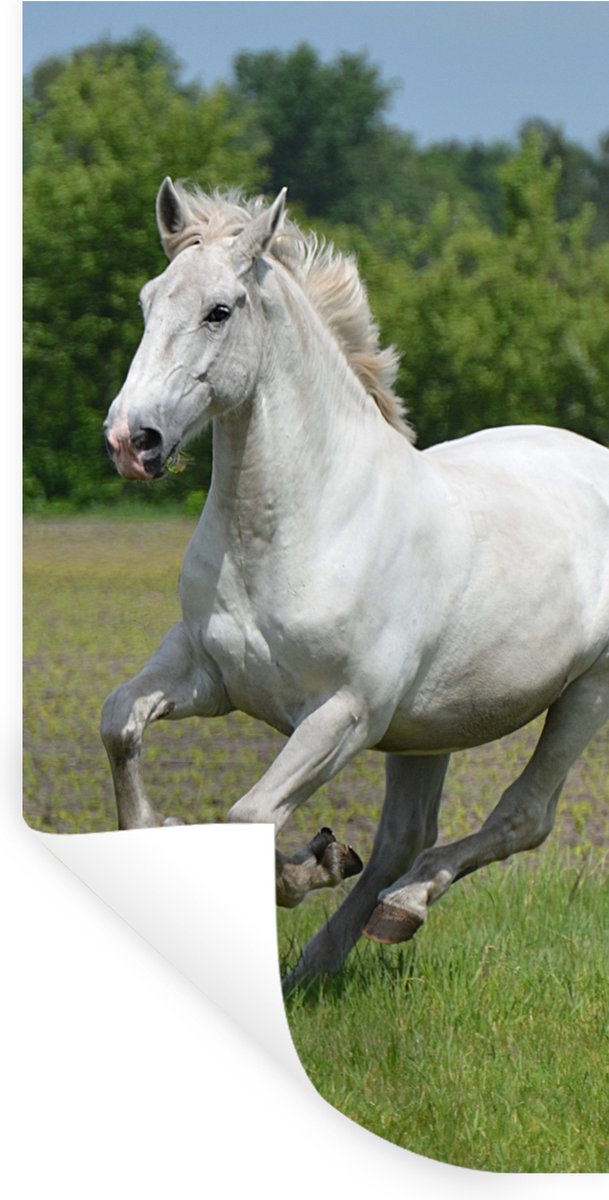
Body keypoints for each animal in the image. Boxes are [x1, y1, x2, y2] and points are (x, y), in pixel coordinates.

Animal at [102, 181, 609, 990]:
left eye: (220, 310)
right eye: (149, 301)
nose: (132, 441)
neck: (300, 527)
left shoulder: (345, 715)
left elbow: (251, 816)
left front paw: (316, 861)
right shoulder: (209, 674)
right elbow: (119, 723)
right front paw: (167, 829)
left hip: (586, 693)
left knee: (521, 818)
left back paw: (402, 907)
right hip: (433, 725)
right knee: (407, 833)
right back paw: (319, 963)